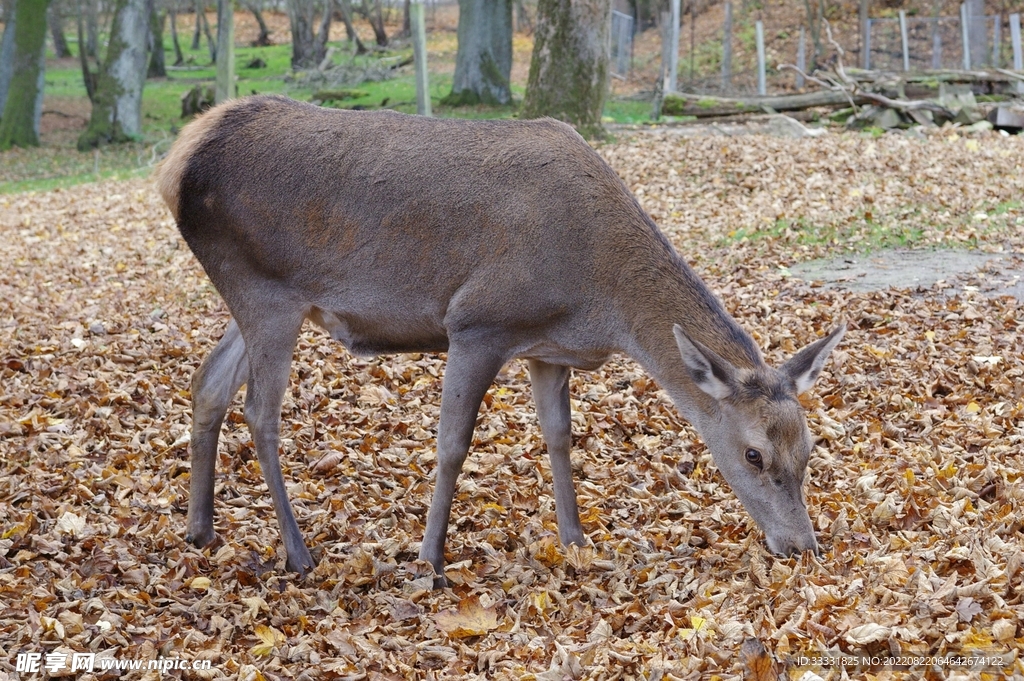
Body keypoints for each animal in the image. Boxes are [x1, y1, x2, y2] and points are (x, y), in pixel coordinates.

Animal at [155, 95, 845, 579]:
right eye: (753, 454)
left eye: (810, 449)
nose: (802, 546)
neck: (598, 301)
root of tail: (176, 162)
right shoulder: (477, 322)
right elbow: (451, 446)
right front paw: (430, 560)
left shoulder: (547, 349)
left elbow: (560, 439)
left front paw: (576, 541)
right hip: (263, 286)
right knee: (259, 411)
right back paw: (298, 553)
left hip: (261, 298)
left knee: (207, 382)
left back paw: (200, 529)